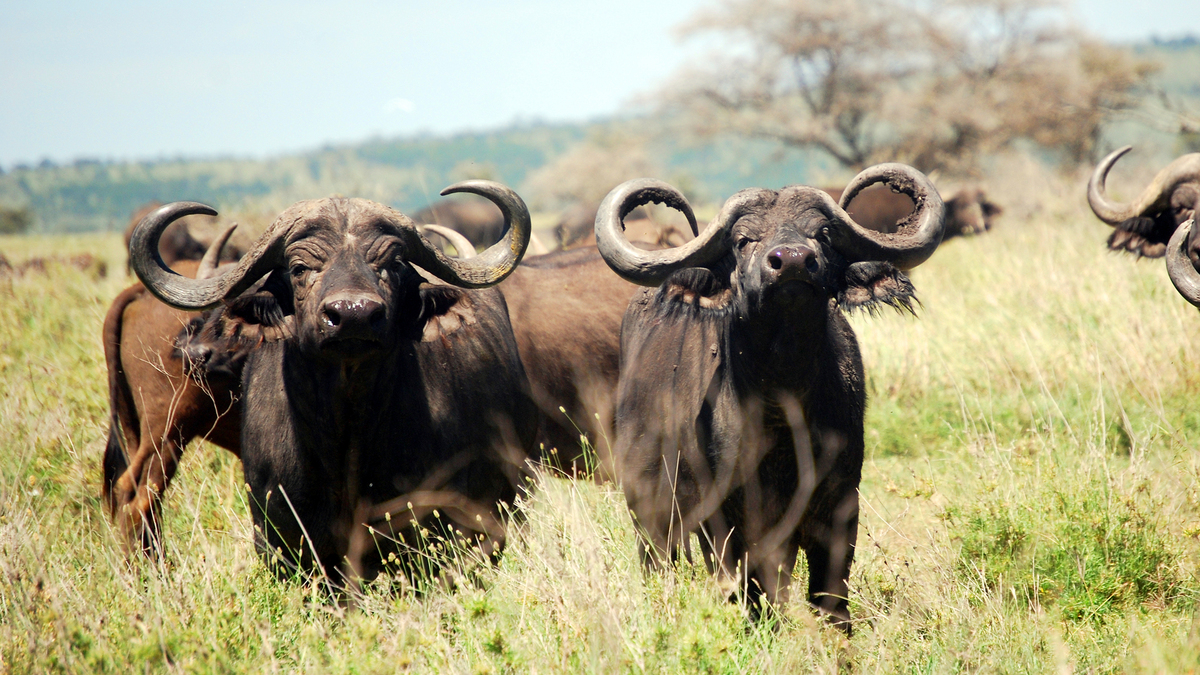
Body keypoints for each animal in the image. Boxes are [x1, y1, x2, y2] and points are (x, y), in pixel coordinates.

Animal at [595, 163, 940, 624]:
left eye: (823, 234)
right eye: (743, 240)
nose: (792, 262)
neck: (781, 406)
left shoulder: (840, 510)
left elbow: (830, 596)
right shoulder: (724, 523)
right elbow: (749, 594)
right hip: (648, 514)